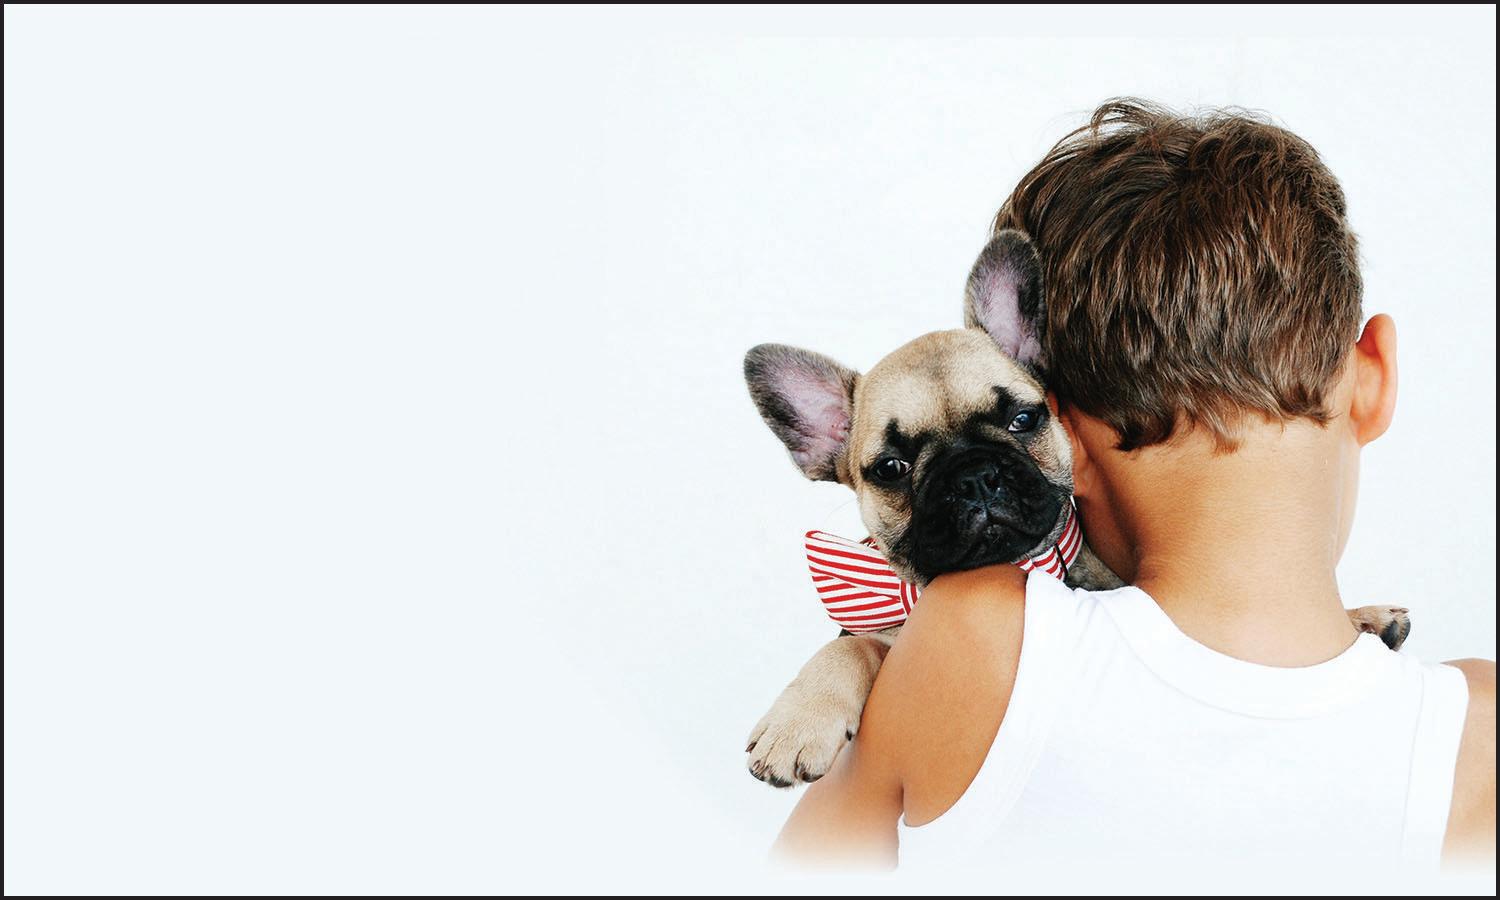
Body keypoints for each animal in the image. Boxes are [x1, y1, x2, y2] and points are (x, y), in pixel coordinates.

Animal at [741, 230, 1412, 788]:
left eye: (1023, 418)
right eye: (891, 469)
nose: (975, 476)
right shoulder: (889, 634)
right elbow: (850, 645)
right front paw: (798, 720)